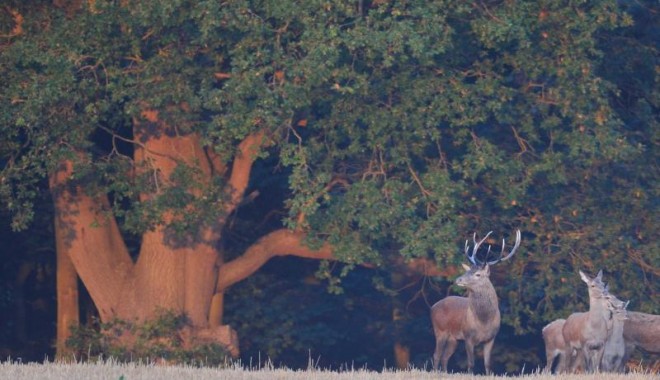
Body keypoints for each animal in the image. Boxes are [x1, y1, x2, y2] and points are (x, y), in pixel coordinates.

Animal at [430, 230, 524, 372]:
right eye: (468, 271)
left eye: (477, 274)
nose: (458, 279)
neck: (484, 321)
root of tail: (433, 307)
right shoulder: (468, 337)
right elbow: (471, 363)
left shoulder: (491, 338)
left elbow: (488, 364)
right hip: (440, 330)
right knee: (436, 355)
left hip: (453, 338)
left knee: (445, 357)